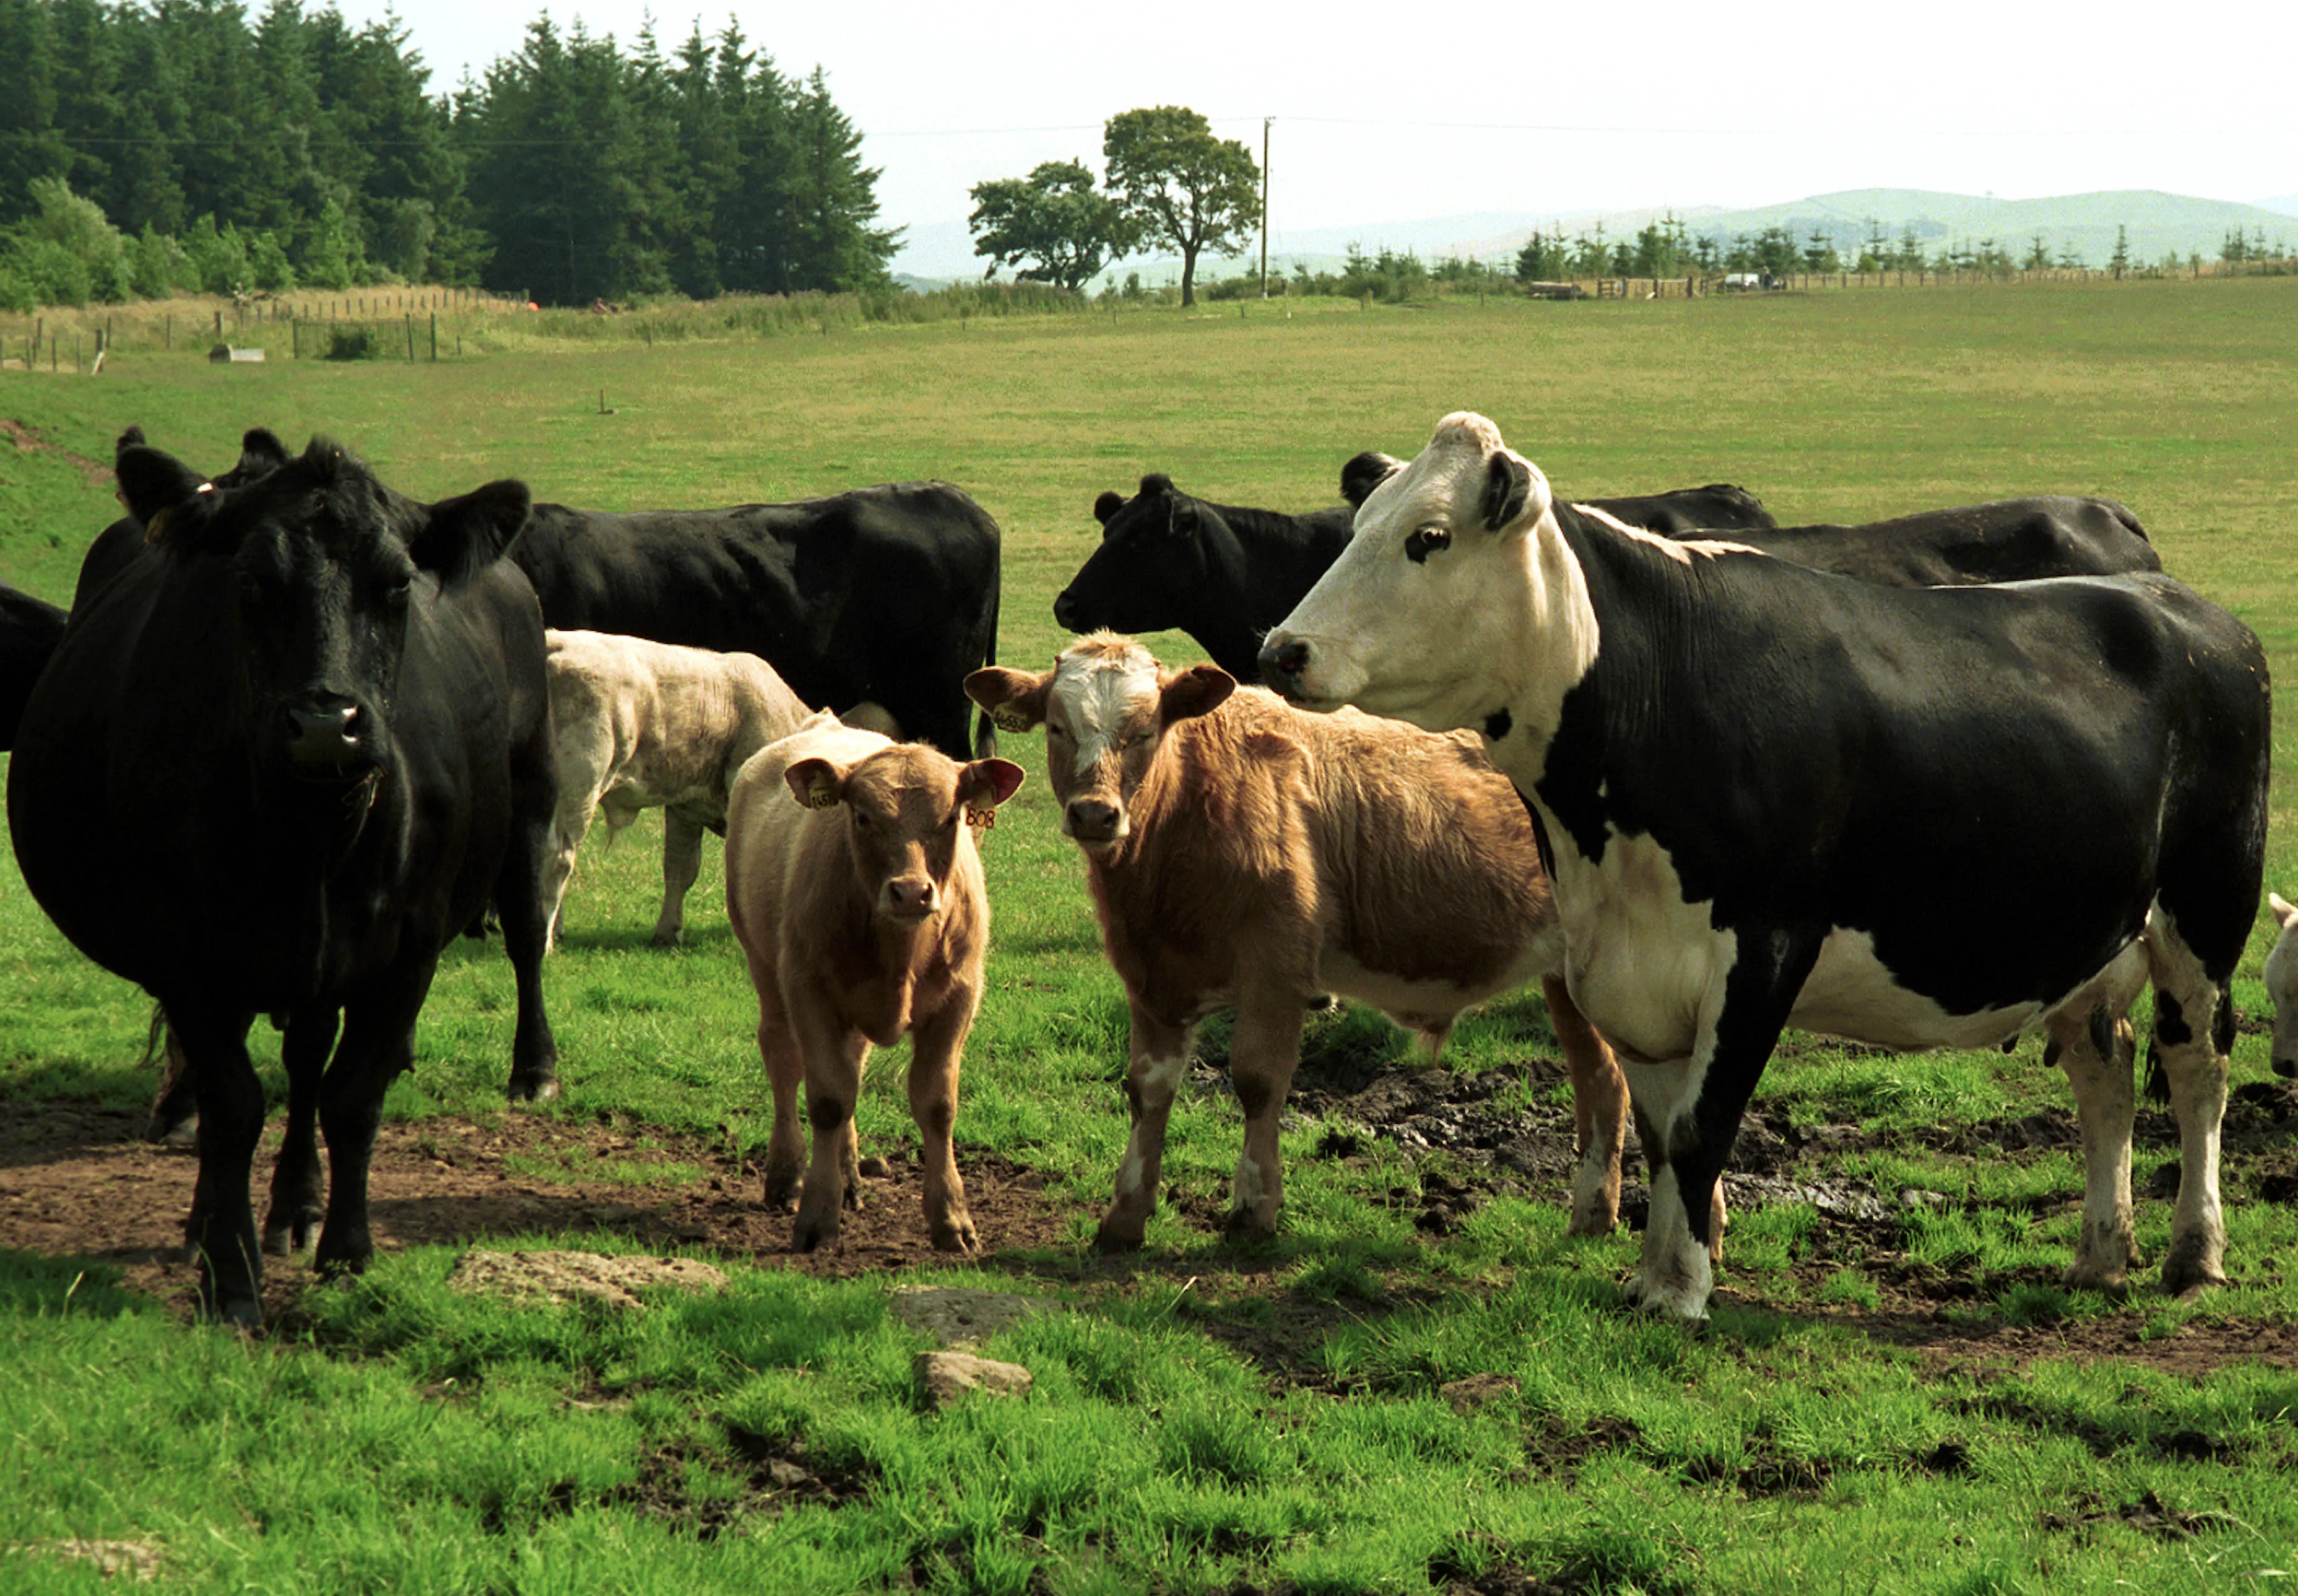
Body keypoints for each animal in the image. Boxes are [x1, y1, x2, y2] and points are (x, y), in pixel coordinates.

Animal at [9, 432, 562, 1327]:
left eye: (398, 584)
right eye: (249, 583)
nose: (327, 725)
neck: (311, 838)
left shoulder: (410, 945)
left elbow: (354, 1094)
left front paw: (349, 1249)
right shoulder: (189, 953)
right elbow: (235, 1105)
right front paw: (230, 1272)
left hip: (531, 792)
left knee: (521, 929)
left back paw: (531, 1071)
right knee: (290, 1063)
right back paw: (256, 1212)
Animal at [542, 629, 810, 950]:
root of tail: (556, 641)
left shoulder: (686, 808)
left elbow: (680, 869)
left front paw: (668, 932)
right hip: (578, 786)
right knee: (558, 859)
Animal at [723, 712, 1024, 1253]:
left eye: (951, 818)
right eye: (862, 817)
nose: (910, 892)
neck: (901, 951)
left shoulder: (959, 998)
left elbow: (937, 1104)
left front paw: (952, 1219)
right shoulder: (809, 989)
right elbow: (827, 1099)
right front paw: (817, 1218)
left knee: (851, 1067)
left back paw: (850, 1179)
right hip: (763, 962)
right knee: (783, 1058)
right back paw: (786, 1176)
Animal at [963, 633, 1638, 1254]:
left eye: (1145, 729)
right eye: (1057, 726)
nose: (1095, 814)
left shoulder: (1276, 970)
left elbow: (1258, 1080)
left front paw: (1253, 1209)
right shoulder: (1152, 976)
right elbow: (1147, 1089)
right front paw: (1125, 1216)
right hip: (1567, 980)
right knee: (1599, 1082)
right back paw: (1592, 1215)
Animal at [1259, 411, 2270, 1322]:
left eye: (1429, 536)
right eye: (1357, 525)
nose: (1281, 648)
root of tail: (2188, 606)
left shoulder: (1764, 946)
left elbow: (1703, 1127)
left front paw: (1683, 1292)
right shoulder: (1631, 970)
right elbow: (1664, 1135)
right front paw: (1654, 1278)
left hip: (2207, 910)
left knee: (2197, 1067)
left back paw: (2194, 1253)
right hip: (2088, 935)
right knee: (2106, 1074)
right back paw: (2101, 1254)